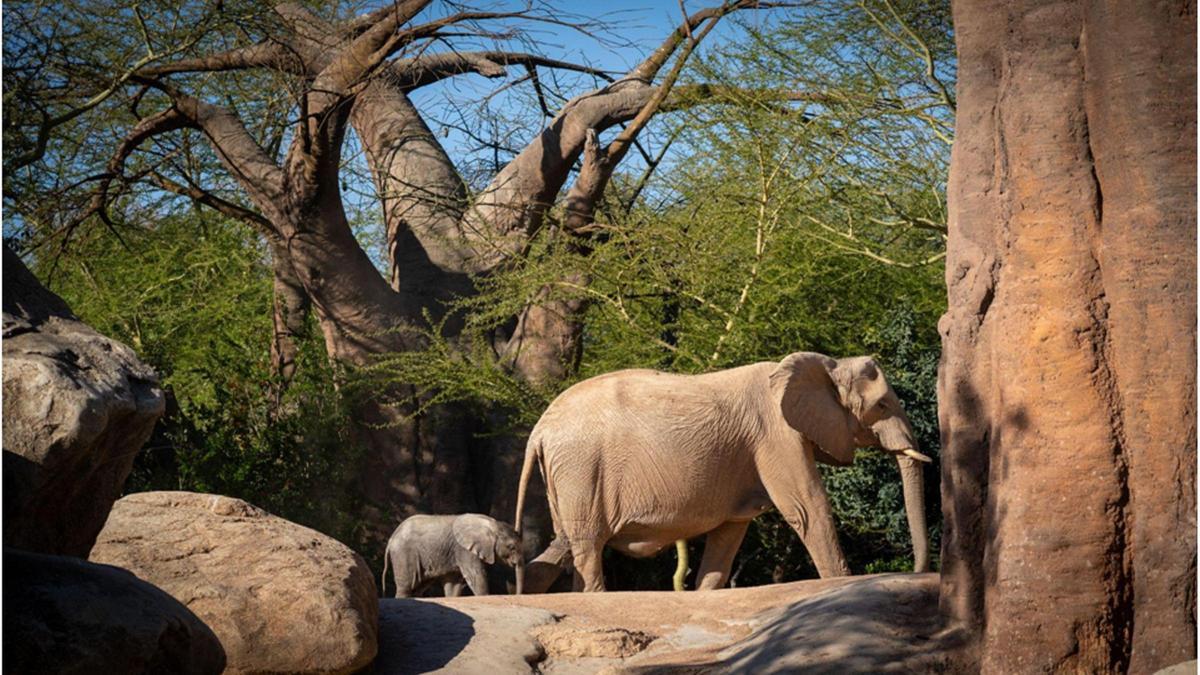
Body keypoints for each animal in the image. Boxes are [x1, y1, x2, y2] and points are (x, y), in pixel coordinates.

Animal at [380, 514, 525, 598]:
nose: (517, 595)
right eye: (511, 547)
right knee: (406, 586)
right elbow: (476, 574)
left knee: (416, 587)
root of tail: (391, 539)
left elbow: (454, 584)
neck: (491, 524)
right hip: (403, 554)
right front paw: (484, 596)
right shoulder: (464, 549)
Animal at [513, 351, 930, 593]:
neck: (826, 364)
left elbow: (731, 532)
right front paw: (841, 584)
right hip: (581, 469)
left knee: (563, 544)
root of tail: (540, 430)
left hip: (569, 476)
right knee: (585, 545)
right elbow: (808, 509)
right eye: (881, 405)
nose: (916, 570)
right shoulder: (777, 435)